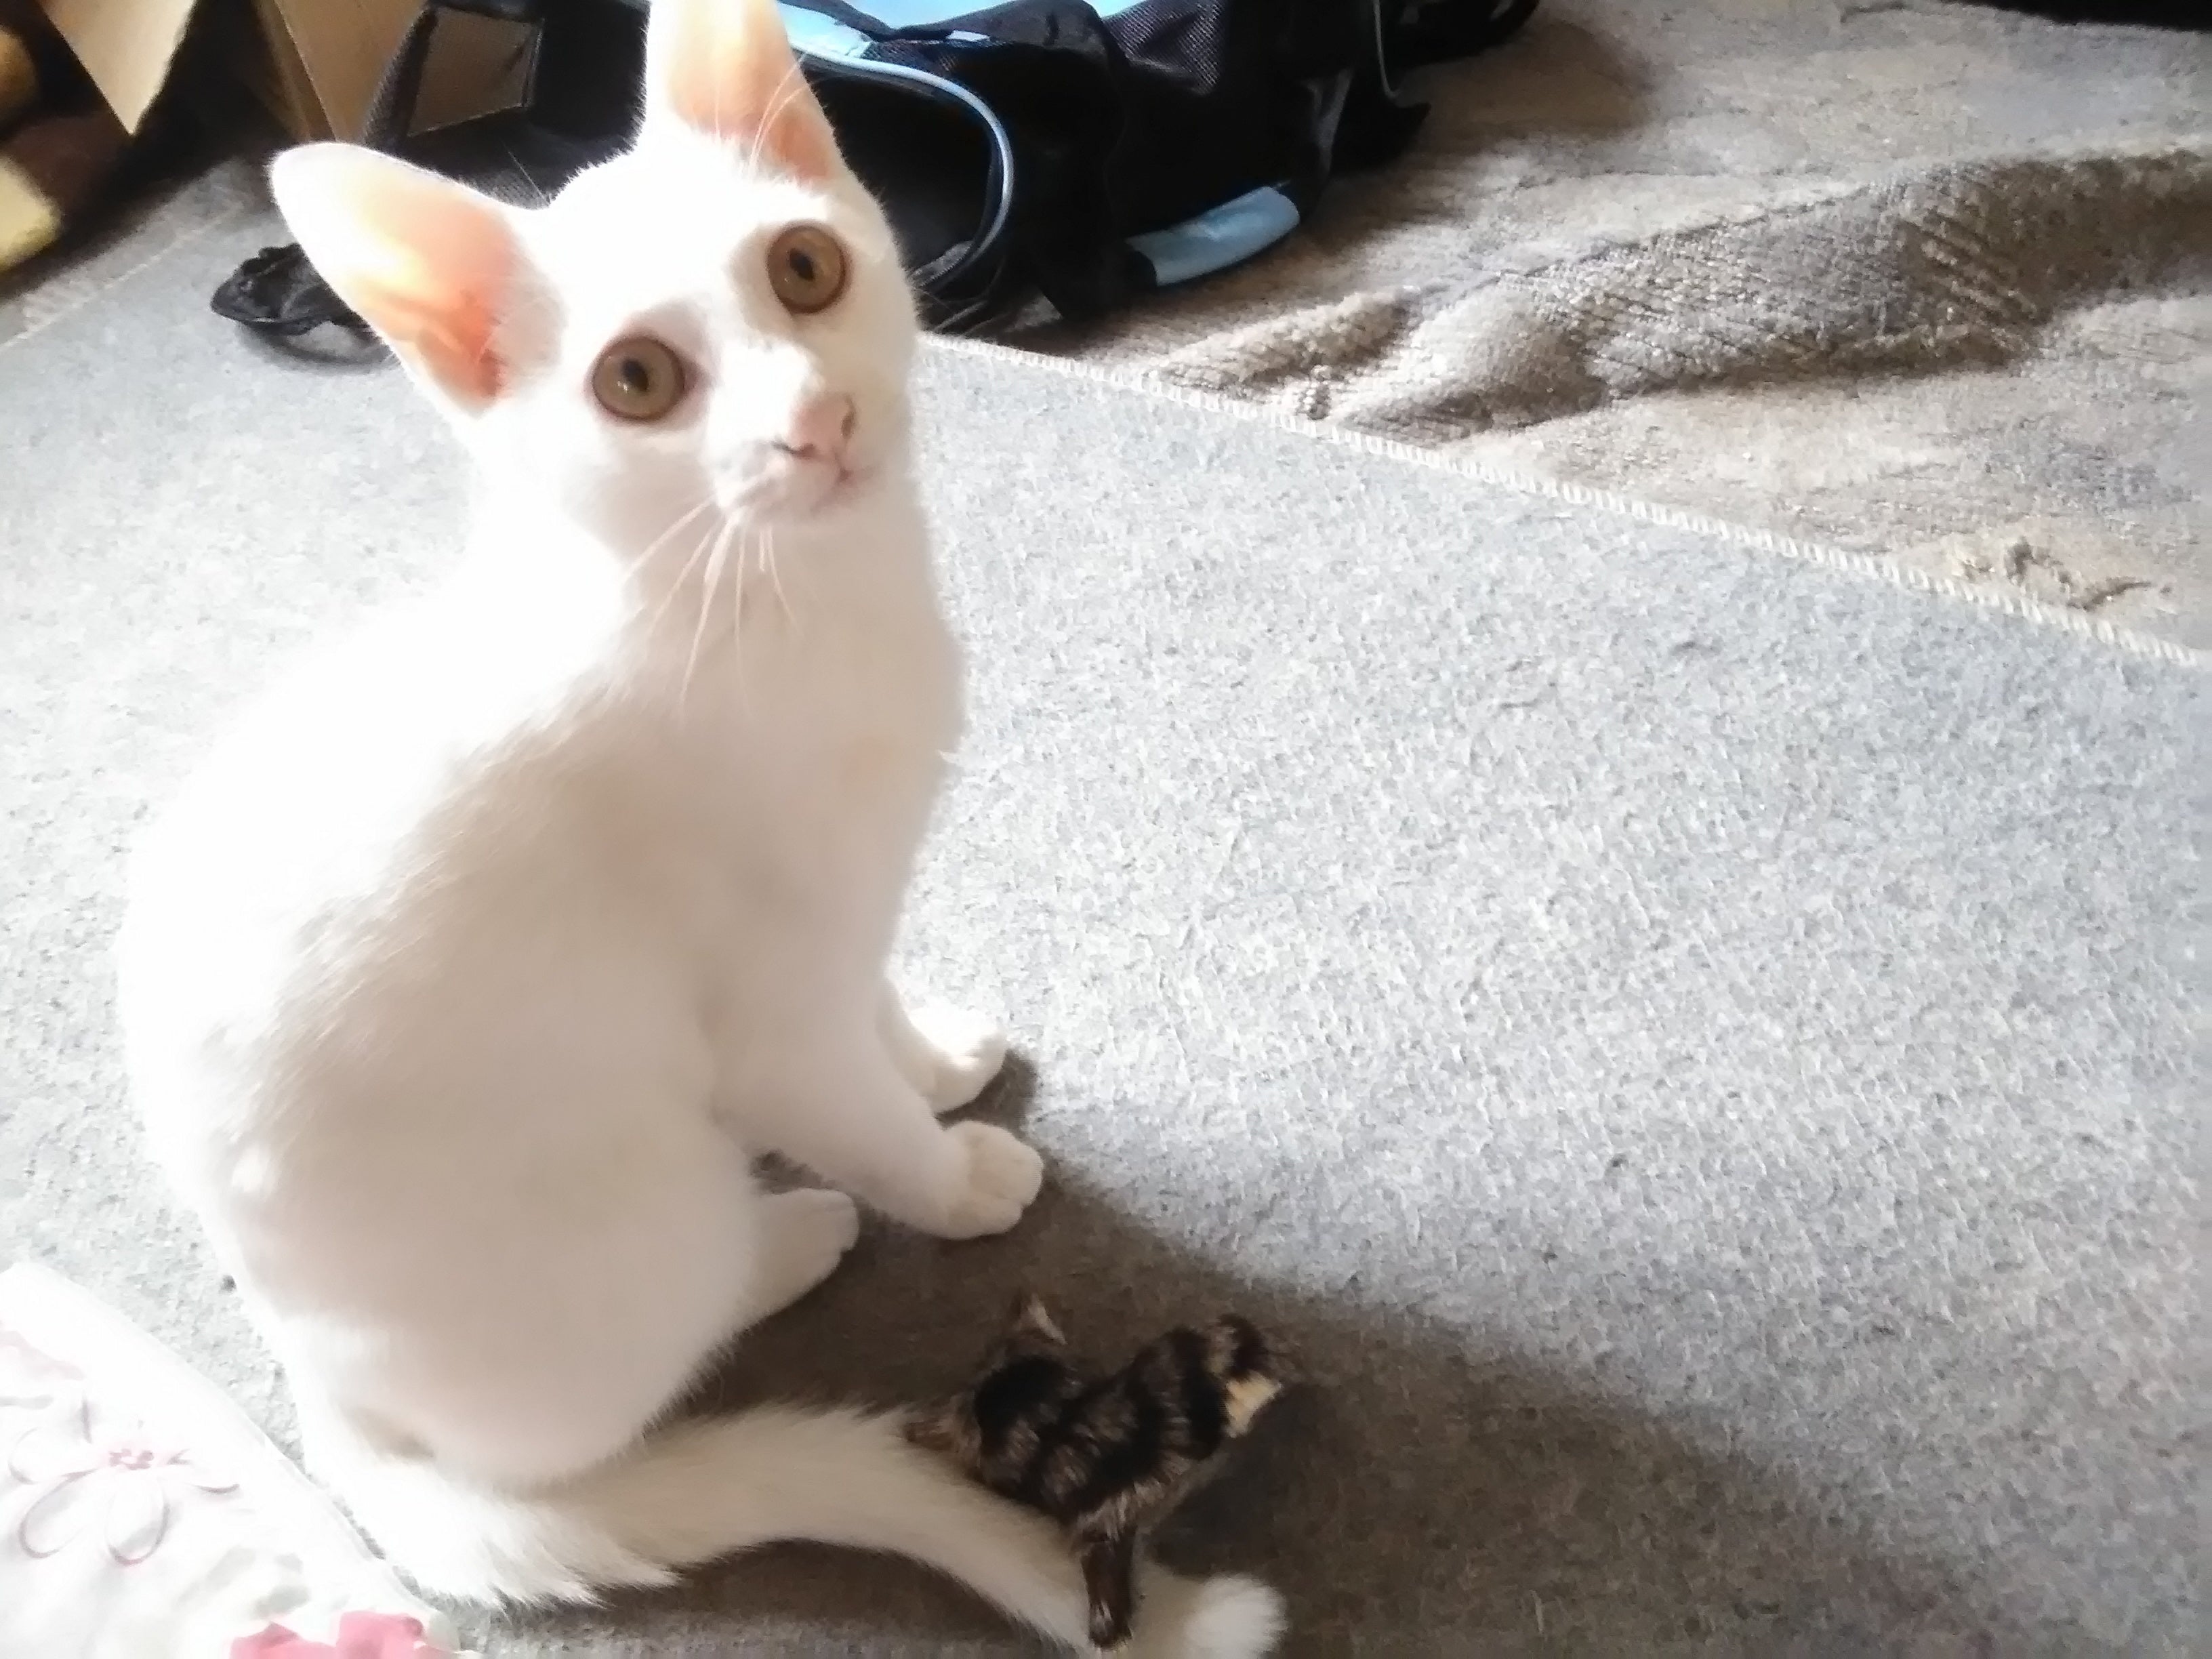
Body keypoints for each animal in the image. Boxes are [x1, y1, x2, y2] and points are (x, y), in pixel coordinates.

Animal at [113, 0, 1281, 1651]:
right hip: (633, 1204)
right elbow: (851, 1100)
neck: (778, 605)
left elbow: (873, 1001)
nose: (815, 419)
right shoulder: (765, 1009)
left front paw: (936, 1058)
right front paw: (951, 1177)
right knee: (625, 1375)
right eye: (640, 382)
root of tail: (330, 1412)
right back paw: (788, 1235)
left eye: (803, 269)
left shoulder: (842, 906)